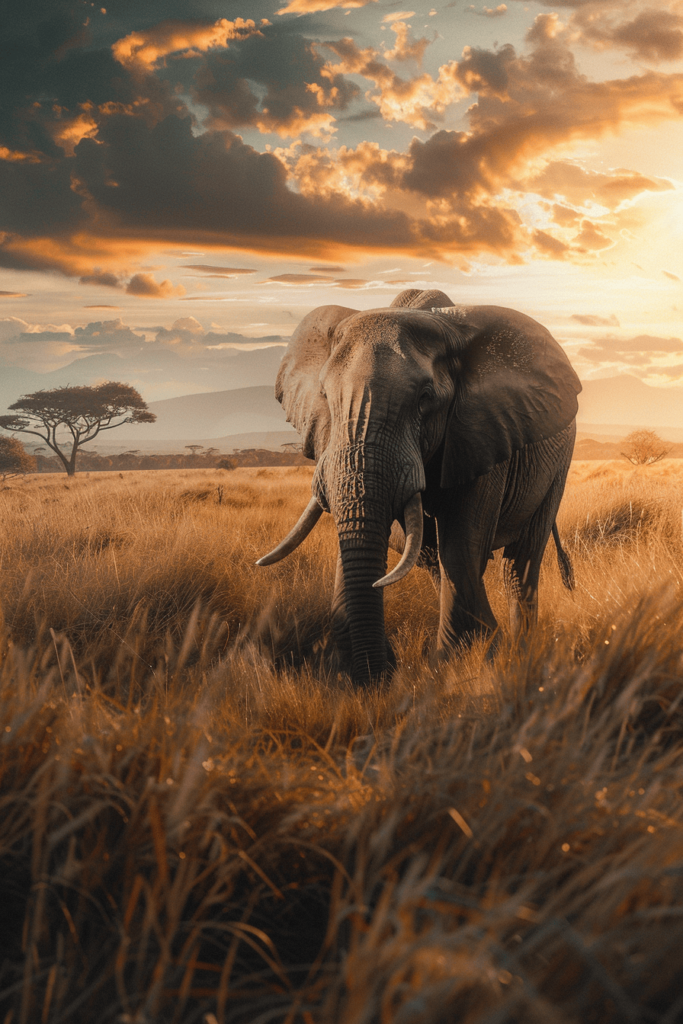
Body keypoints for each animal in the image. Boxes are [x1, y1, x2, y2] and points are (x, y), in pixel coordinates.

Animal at [259, 288, 581, 688]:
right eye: (324, 394)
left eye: (425, 398)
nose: (379, 676)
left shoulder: (482, 431)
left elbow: (461, 545)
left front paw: (457, 663)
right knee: (434, 559)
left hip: (558, 461)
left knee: (518, 562)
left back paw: (522, 654)